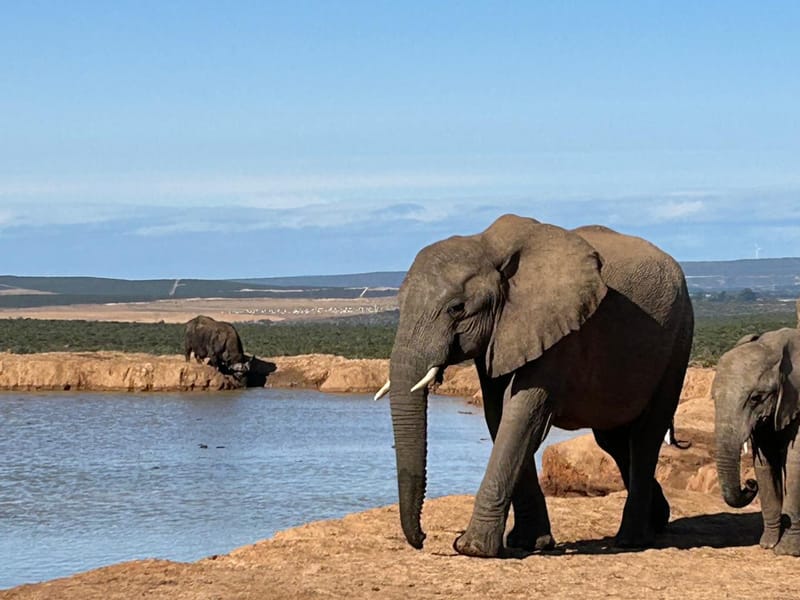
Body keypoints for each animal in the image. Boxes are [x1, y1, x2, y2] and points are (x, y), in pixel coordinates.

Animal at [374, 214, 694, 557]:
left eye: (456, 308)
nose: (422, 538)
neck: (488, 247)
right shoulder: (502, 333)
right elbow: (498, 414)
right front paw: (528, 543)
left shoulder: (560, 330)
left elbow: (522, 413)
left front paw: (471, 548)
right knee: (614, 440)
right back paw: (659, 519)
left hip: (679, 337)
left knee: (646, 435)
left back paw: (633, 539)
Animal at [713, 327, 800, 556]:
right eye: (713, 399)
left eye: (755, 398)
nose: (749, 483)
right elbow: (764, 463)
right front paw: (767, 544)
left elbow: (795, 464)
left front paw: (786, 551)